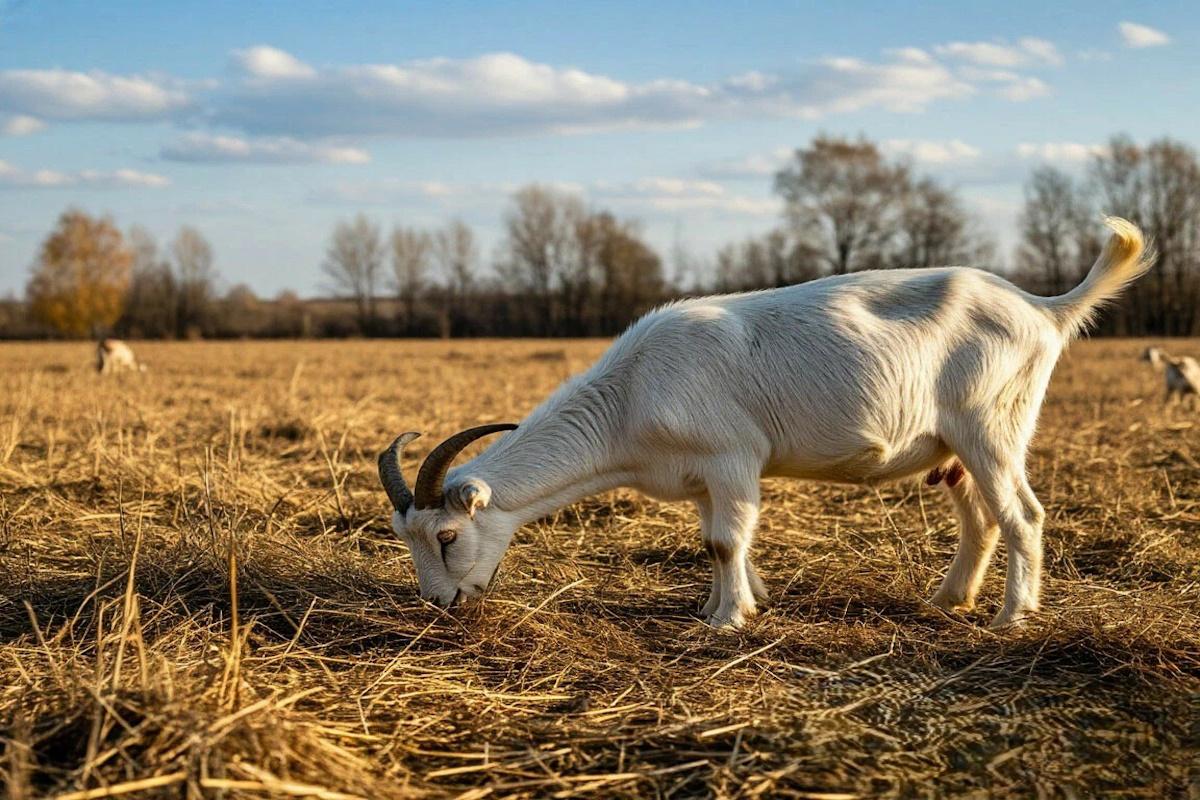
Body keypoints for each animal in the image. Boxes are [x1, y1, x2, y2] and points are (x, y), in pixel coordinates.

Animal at [378, 218, 1152, 630]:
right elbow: (721, 541)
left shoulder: (732, 456)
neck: (629, 397)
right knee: (981, 517)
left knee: (1022, 513)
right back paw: (948, 598)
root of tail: (1045, 308)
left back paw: (1011, 617)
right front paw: (734, 602)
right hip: (951, 445)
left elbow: (725, 540)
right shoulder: (703, 477)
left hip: (993, 425)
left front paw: (726, 621)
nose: (439, 603)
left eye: (447, 536)